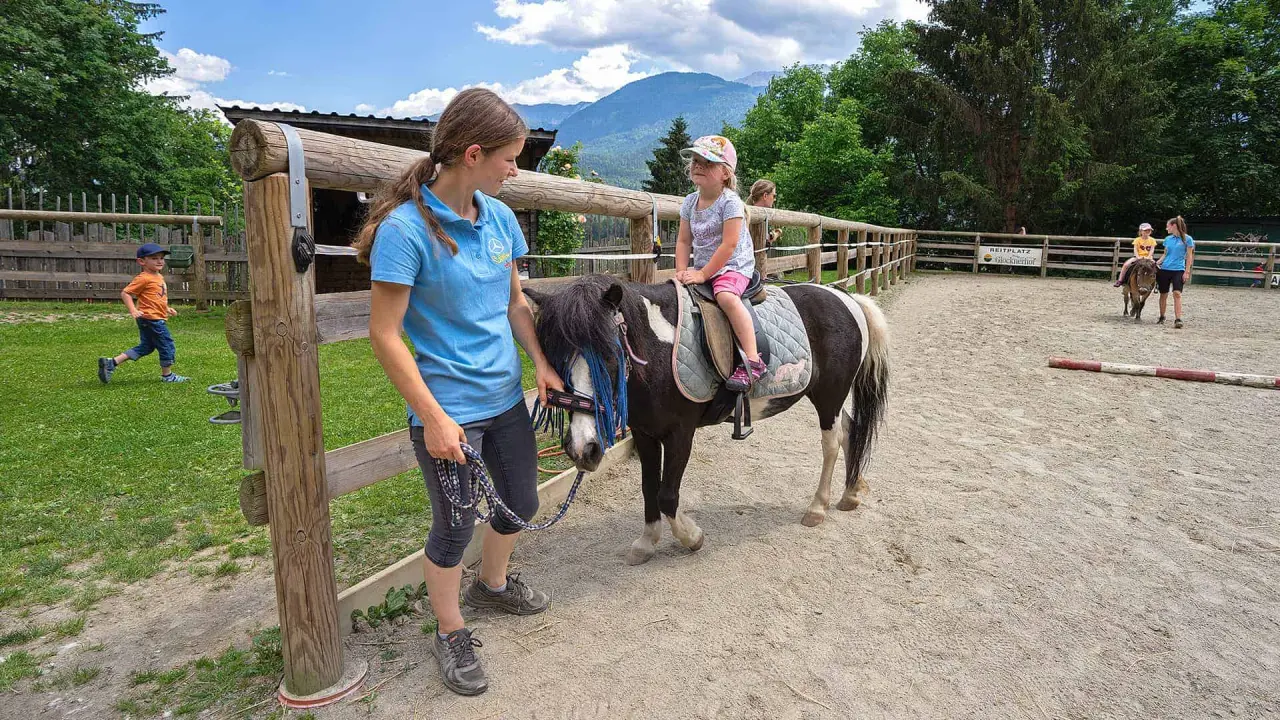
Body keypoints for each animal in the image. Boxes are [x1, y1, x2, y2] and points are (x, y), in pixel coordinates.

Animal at [525, 275, 890, 565]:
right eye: (555, 358)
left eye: (609, 355)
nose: (582, 449)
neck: (658, 350)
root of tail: (847, 298)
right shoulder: (645, 434)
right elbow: (648, 488)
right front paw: (646, 543)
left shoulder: (680, 434)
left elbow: (667, 495)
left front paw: (691, 537)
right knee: (851, 431)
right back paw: (850, 493)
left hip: (829, 396)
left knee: (831, 443)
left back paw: (817, 508)